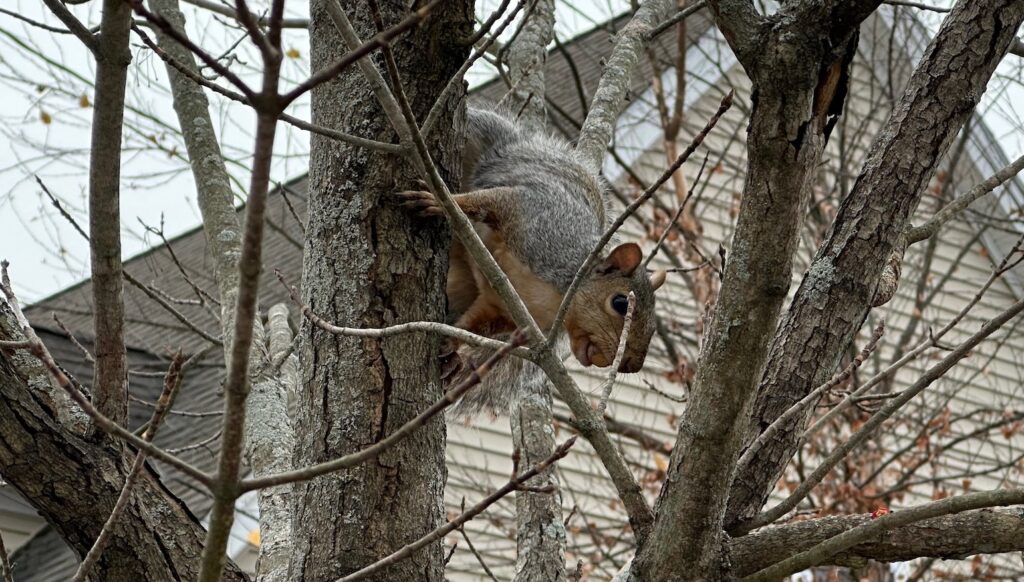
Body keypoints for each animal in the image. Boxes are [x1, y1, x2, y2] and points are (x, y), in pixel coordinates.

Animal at [395, 105, 667, 413]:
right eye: (620, 303)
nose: (631, 364)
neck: (554, 298)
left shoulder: (499, 309)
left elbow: (472, 324)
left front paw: (451, 346)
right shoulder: (533, 216)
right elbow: (486, 202)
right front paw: (440, 202)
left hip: (463, 283)